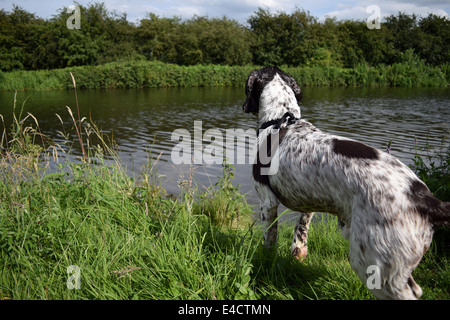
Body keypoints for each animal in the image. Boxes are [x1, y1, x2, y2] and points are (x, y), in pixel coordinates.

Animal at [243, 66, 450, 298]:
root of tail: (427, 201)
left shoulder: (267, 202)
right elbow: (301, 230)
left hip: (374, 267)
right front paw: (298, 252)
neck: (281, 121)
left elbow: (270, 242)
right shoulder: (308, 203)